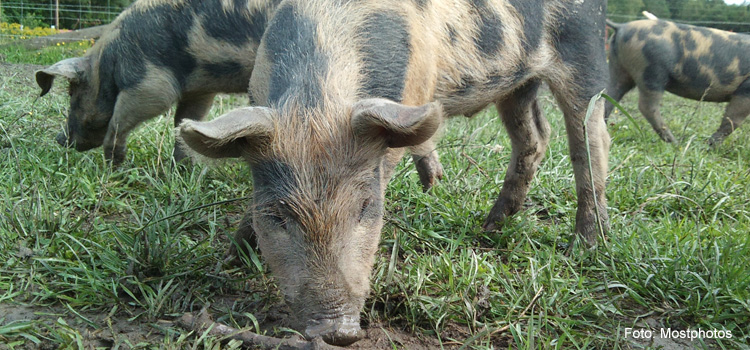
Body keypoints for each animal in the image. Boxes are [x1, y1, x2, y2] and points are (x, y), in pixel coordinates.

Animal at [181, 0, 612, 344]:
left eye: (365, 207)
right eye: (276, 215)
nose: (336, 331)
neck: (317, 101)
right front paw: (231, 258)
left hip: (585, 47)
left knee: (590, 138)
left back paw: (585, 247)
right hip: (518, 83)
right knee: (535, 135)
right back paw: (492, 227)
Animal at [604, 18, 750, 145]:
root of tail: (621, 26)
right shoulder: (745, 90)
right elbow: (732, 120)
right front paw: (711, 147)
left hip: (618, 68)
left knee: (608, 96)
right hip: (651, 71)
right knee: (647, 107)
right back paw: (675, 143)